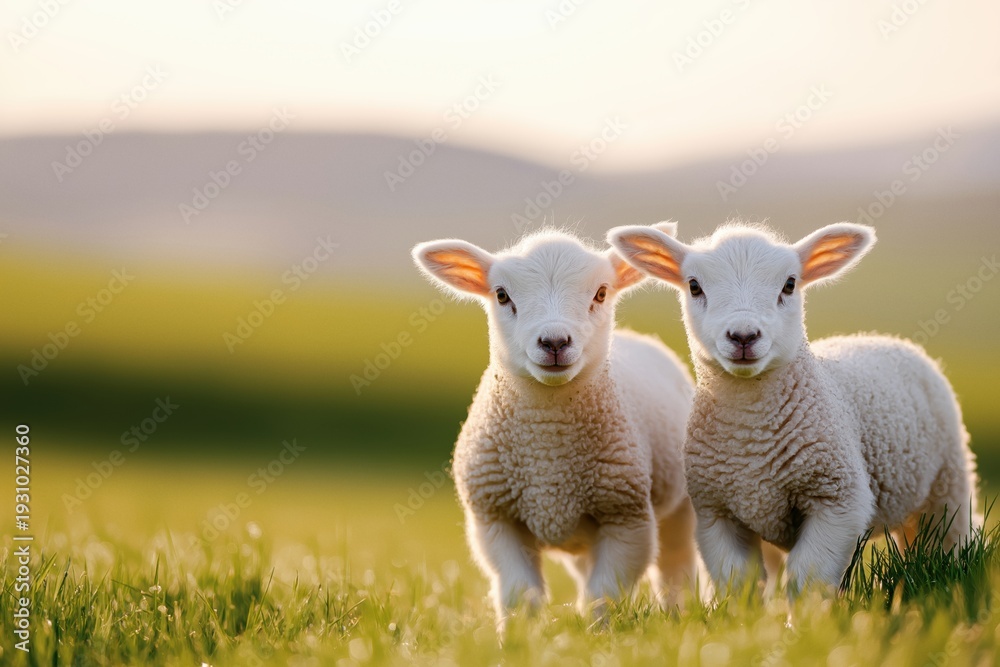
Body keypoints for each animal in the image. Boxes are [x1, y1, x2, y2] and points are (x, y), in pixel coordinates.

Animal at [411, 227, 699, 628]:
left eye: (601, 293)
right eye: (502, 295)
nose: (554, 342)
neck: (549, 451)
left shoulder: (627, 519)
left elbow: (603, 594)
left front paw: (598, 634)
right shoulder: (494, 520)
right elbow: (520, 593)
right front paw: (517, 635)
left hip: (678, 505)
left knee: (675, 567)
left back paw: (677, 614)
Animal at [607, 220, 980, 595]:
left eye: (789, 284)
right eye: (694, 286)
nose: (744, 336)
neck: (750, 439)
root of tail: (883, 337)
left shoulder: (837, 500)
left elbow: (806, 579)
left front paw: (806, 612)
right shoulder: (717, 512)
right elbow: (738, 582)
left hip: (948, 481)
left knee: (945, 539)